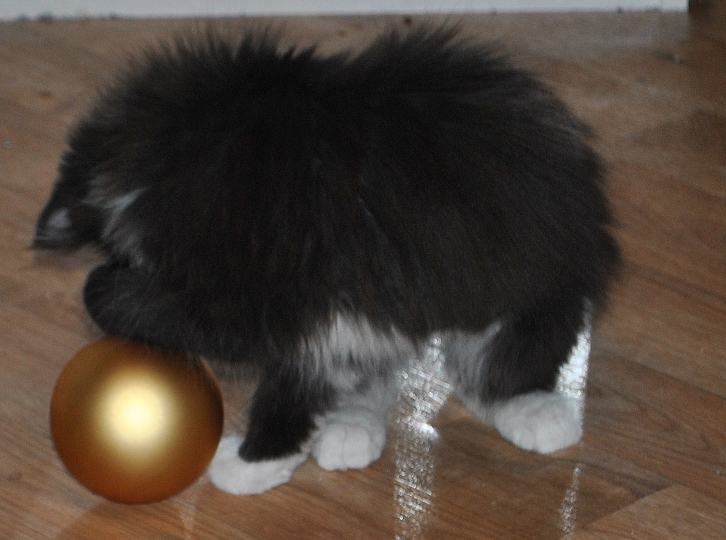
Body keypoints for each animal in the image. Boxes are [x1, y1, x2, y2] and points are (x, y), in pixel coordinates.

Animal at [34, 24, 620, 495]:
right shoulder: (322, 314)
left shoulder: (285, 307)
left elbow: (284, 381)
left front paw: (250, 465)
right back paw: (350, 430)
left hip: (528, 282)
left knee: (505, 359)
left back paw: (534, 412)